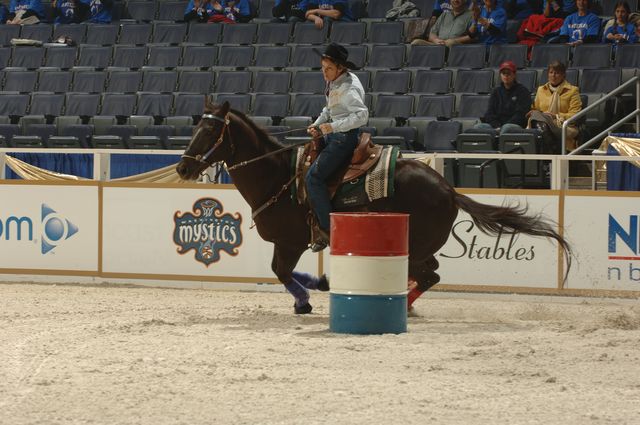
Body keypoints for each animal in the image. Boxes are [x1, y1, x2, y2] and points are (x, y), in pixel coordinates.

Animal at [175, 99, 568, 312]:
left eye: (209, 132)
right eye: (195, 128)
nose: (182, 168)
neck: (277, 175)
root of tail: (448, 189)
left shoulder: (291, 242)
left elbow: (281, 272)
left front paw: (306, 300)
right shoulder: (289, 244)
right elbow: (284, 272)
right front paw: (320, 284)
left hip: (416, 246)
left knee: (429, 275)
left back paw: (404, 307)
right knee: (429, 274)